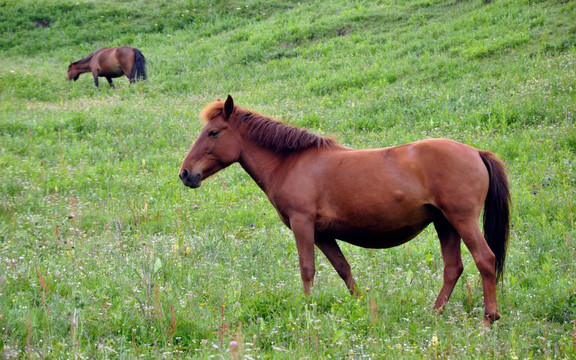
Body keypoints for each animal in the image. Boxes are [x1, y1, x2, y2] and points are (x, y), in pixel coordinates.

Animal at [178, 95, 510, 324]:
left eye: (213, 133)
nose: (185, 173)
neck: (291, 163)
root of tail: (476, 152)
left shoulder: (302, 224)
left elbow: (307, 269)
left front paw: (308, 308)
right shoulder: (323, 234)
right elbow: (343, 269)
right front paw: (360, 305)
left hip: (462, 220)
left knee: (485, 259)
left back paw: (489, 318)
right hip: (445, 224)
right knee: (453, 268)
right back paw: (435, 312)